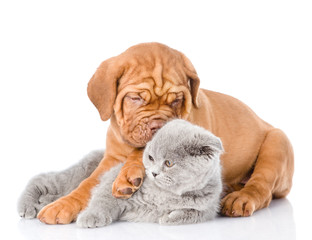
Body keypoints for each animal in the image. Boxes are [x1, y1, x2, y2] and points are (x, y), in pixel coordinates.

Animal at [76, 120, 223, 227]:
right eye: (151, 158)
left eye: (169, 163)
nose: (154, 173)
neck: (166, 194)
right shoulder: (117, 184)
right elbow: (103, 199)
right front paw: (91, 216)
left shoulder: (209, 208)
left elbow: (192, 214)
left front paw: (167, 218)